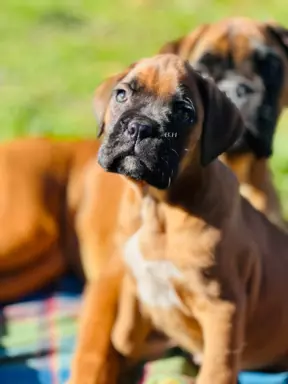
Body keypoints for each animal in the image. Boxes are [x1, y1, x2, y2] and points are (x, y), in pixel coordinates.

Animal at [77, 53, 288, 384]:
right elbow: (124, 335)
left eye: (185, 112)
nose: (140, 127)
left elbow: (216, 369)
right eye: (121, 95)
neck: (157, 207)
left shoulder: (222, 309)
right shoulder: (135, 271)